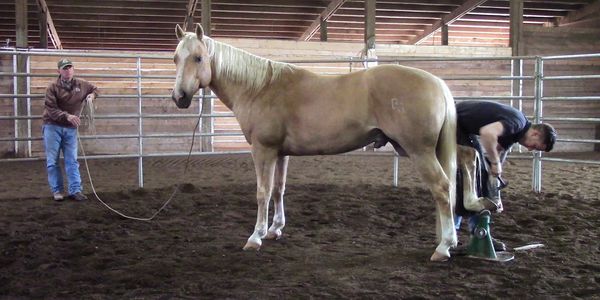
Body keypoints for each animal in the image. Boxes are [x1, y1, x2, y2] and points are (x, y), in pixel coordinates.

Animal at [173, 24, 460, 262]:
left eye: (198, 58)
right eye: (176, 58)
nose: (179, 97)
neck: (259, 88)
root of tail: (437, 83)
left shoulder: (263, 150)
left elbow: (262, 192)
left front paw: (255, 237)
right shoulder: (280, 153)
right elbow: (278, 190)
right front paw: (275, 229)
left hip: (420, 152)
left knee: (442, 188)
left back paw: (443, 247)